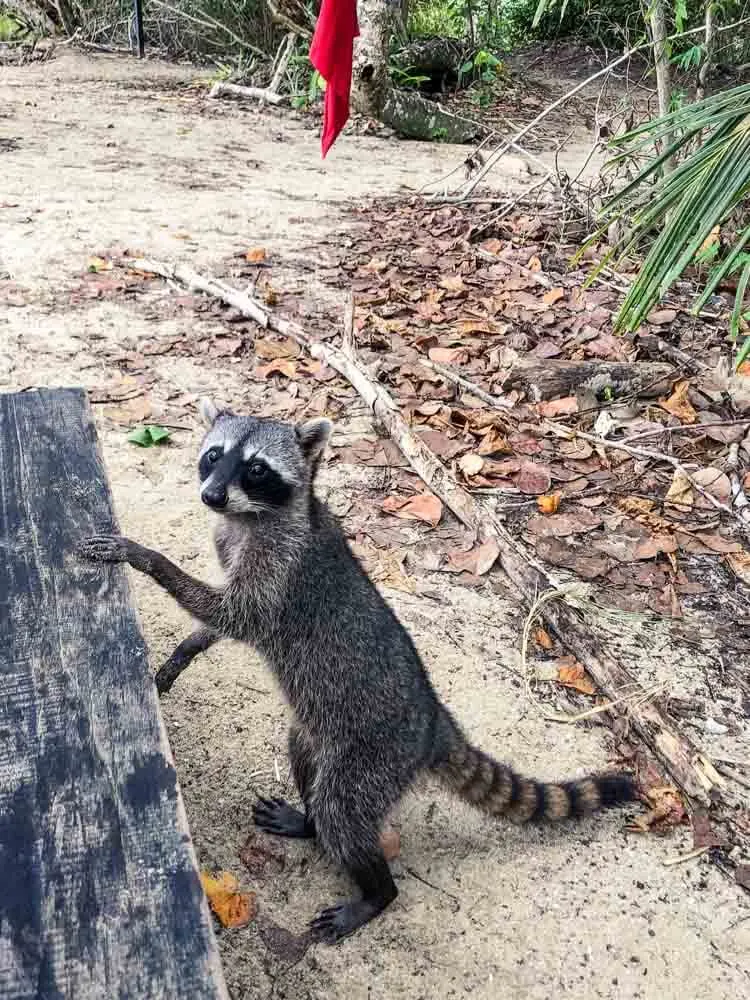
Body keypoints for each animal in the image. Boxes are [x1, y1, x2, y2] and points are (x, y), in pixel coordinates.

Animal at [81, 400, 636, 944]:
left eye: (256, 468)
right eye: (214, 455)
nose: (212, 494)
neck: (250, 515)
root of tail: (433, 722)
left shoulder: (279, 568)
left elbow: (236, 613)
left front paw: (147, 558)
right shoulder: (233, 545)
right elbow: (224, 620)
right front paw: (188, 647)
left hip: (374, 757)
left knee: (342, 812)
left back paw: (375, 892)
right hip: (320, 736)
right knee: (308, 767)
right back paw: (308, 822)